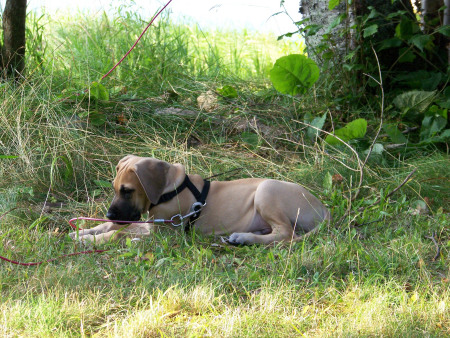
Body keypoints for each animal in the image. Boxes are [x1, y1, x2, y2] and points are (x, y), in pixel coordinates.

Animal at [70, 156, 330, 246]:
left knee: (286, 233)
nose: (110, 214)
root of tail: (324, 209)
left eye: (127, 191)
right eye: (115, 189)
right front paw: (84, 231)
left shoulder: (163, 232)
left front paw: (92, 240)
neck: (168, 189)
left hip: (267, 190)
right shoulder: (150, 223)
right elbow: (114, 227)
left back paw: (244, 238)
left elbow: (120, 233)